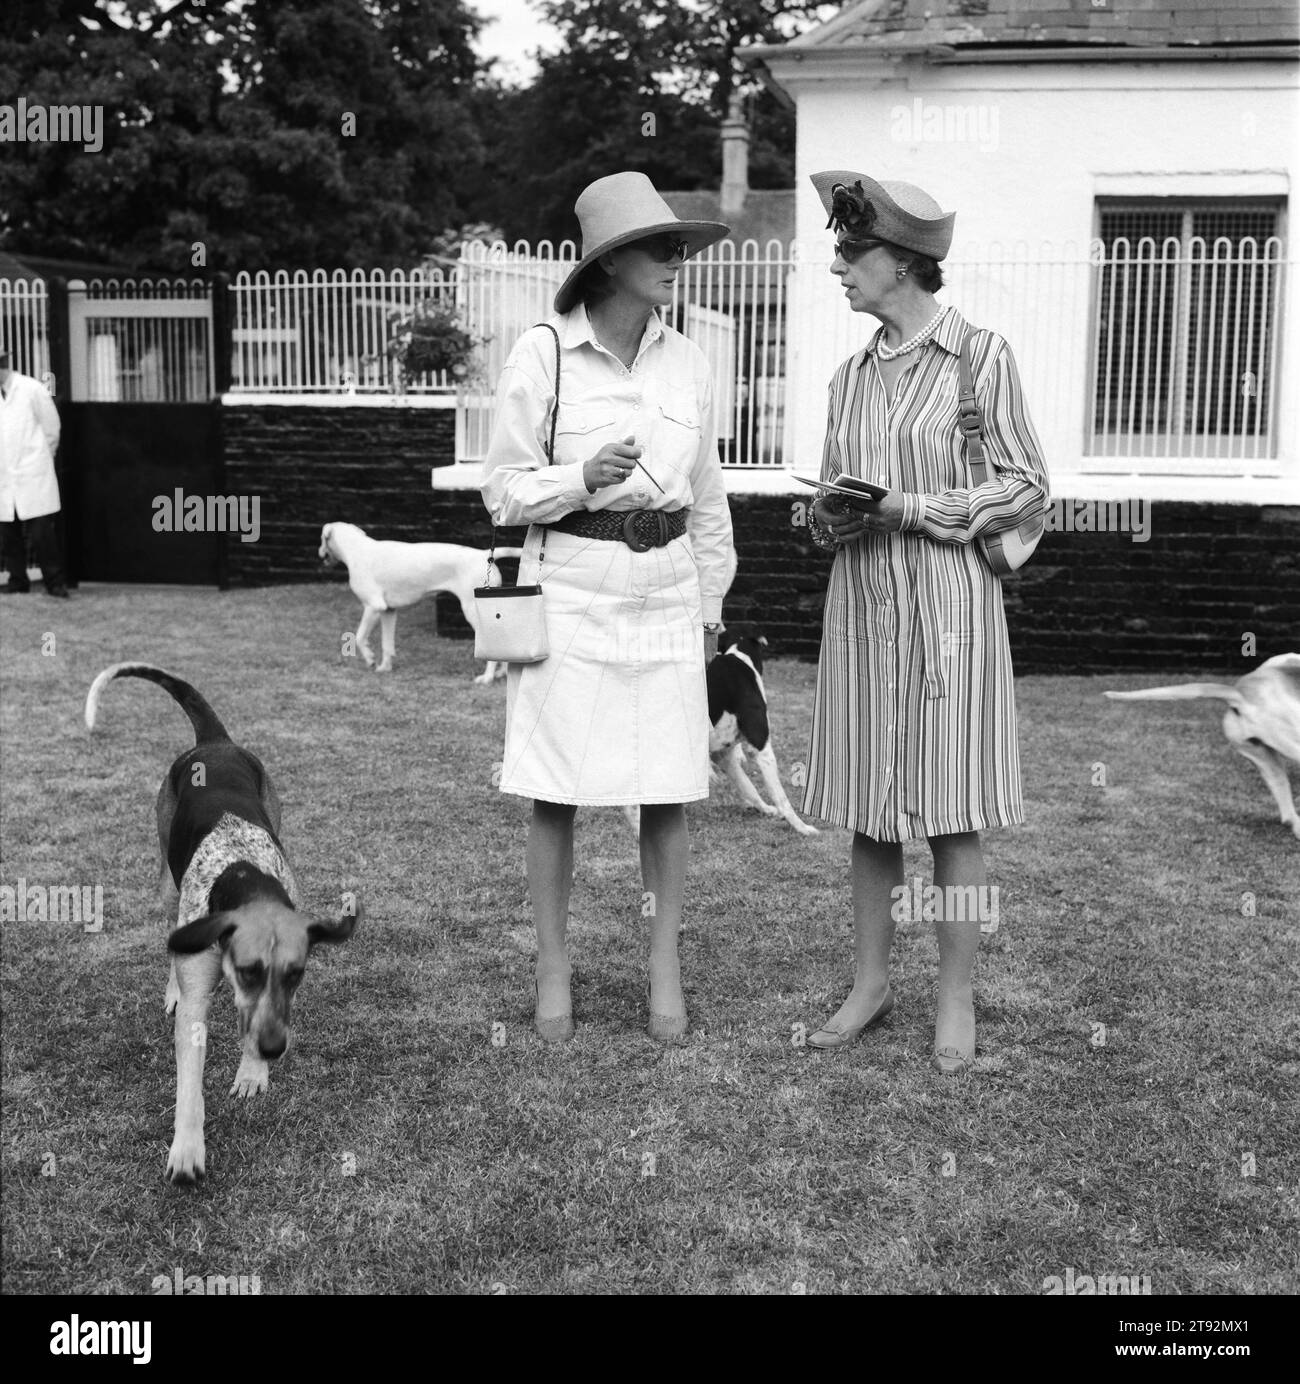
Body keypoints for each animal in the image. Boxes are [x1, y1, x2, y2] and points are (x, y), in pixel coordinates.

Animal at [86, 664, 357, 1184]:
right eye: (249, 971)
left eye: (297, 975)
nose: (272, 1050)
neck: (243, 871)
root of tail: (215, 740)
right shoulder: (200, 998)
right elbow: (190, 1082)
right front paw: (187, 1149)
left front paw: (252, 1072)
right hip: (168, 885)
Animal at [319, 520, 523, 680]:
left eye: (321, 539)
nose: (319, 554)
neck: (357, 549)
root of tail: (482, 555)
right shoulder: (388, 612)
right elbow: (387, 645)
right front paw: (385, 668)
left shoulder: (372, 606)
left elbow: (360, 637)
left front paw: (369, 659)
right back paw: (501, 674)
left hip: (475, 613)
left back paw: (487, 677)